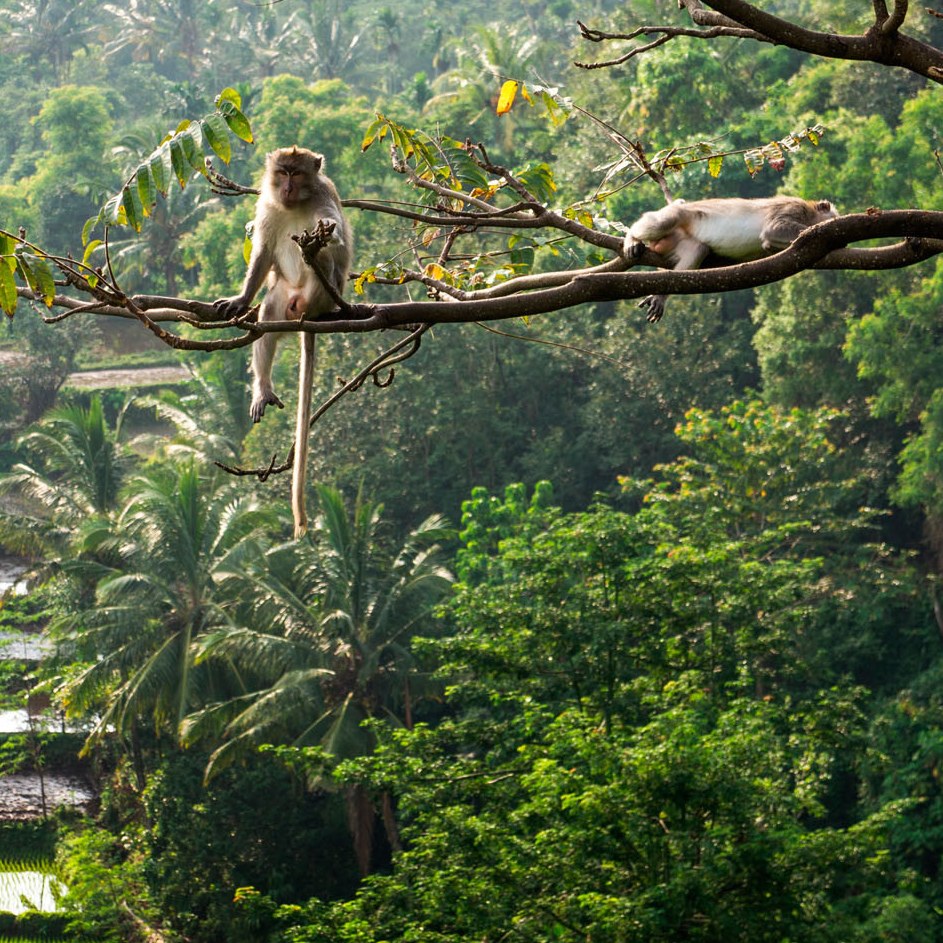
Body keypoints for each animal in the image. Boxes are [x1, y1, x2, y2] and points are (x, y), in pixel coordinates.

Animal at [216, 146, 352, 540]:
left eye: (298, 173)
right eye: (282, 172)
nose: (288, 187)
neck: (295, 205)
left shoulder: (322, 199)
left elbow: (332, 235)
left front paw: (323, 238)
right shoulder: (268, 206)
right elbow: (262, 252)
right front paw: (242, 299)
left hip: (321, 292)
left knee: (323, 259)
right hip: (283, 295)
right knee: (267, 320)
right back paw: (263, 386)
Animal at [624, 195, 836, 320]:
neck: (809, 213)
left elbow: (769, 242)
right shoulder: (792, 207)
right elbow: (774, 229)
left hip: (677, 239)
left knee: (697, 249)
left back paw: (661, 294)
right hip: (676, 214)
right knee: (666, 220)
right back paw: (632, 238)